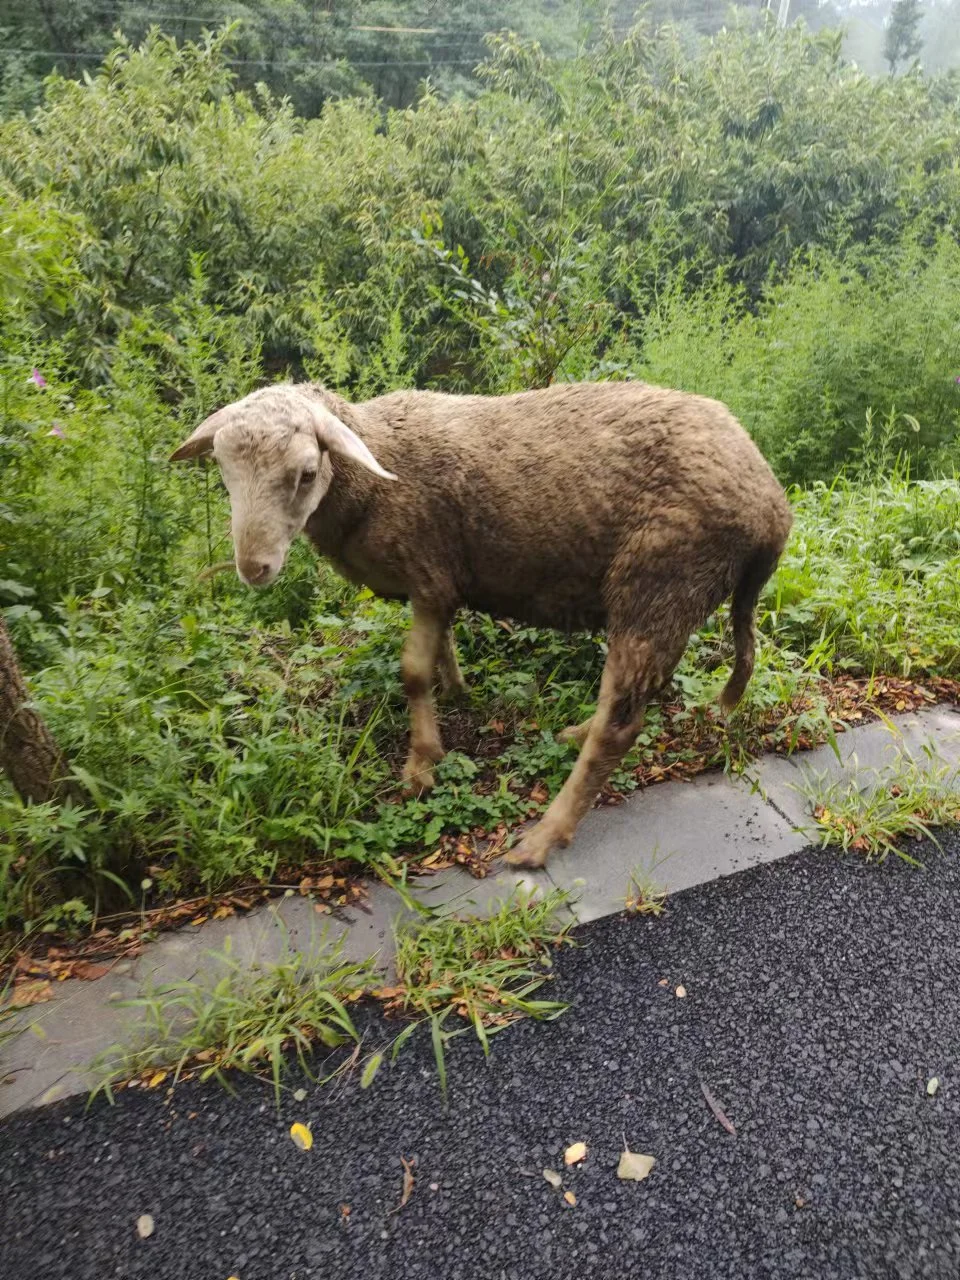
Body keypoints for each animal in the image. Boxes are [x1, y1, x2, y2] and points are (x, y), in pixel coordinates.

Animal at [172, 373, 798, 865]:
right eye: (223, 473)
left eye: (305, 474)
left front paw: (422, 763)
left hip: (660, 579)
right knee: (639, 696)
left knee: (621, 724)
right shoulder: (438, 583)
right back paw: (575, 733)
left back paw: (545, 835)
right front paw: (455, 689)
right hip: (674, 596)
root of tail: (771, 504)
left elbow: (411, 672)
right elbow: (441, 650)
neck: (374, 477)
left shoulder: (427, 569)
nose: (253, 568)